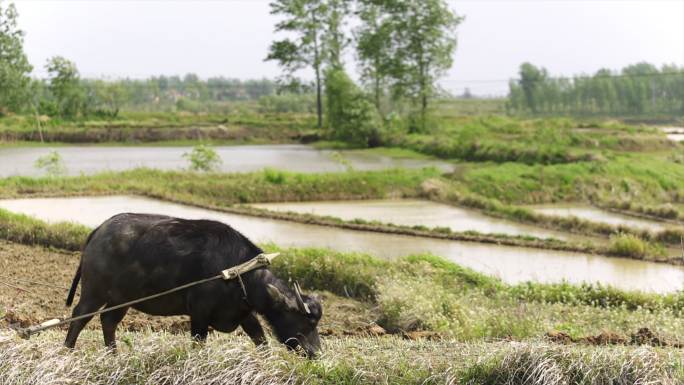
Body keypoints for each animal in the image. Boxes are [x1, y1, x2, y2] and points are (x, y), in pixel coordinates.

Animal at [64, 212, 320, 356]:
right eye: (303, 321)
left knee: (108, 321)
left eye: (315, 323)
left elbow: (260, 339)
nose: (315, 353)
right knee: (79, 317)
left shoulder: (243, 311)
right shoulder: (199, 313)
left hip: (122, 298)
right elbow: (198, 343)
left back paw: (114, 355)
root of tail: (99, 231)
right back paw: (68, 350)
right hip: (94, 292)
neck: (236, 272)